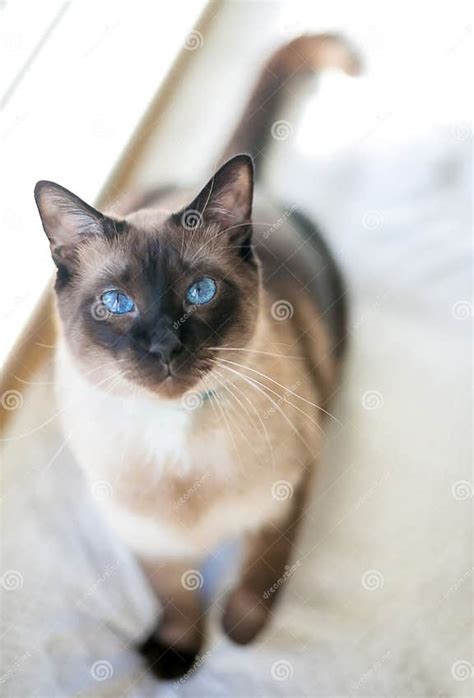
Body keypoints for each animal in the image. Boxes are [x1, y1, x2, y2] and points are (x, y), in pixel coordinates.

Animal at [33, 35, 358, 676]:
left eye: (201, 292)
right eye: (117, 302)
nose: (165, 345)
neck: (176, 438)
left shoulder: (285, 498)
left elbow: (257, 577)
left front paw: (240, 636)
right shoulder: (146, 537)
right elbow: (174, 597)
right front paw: (175, 659)